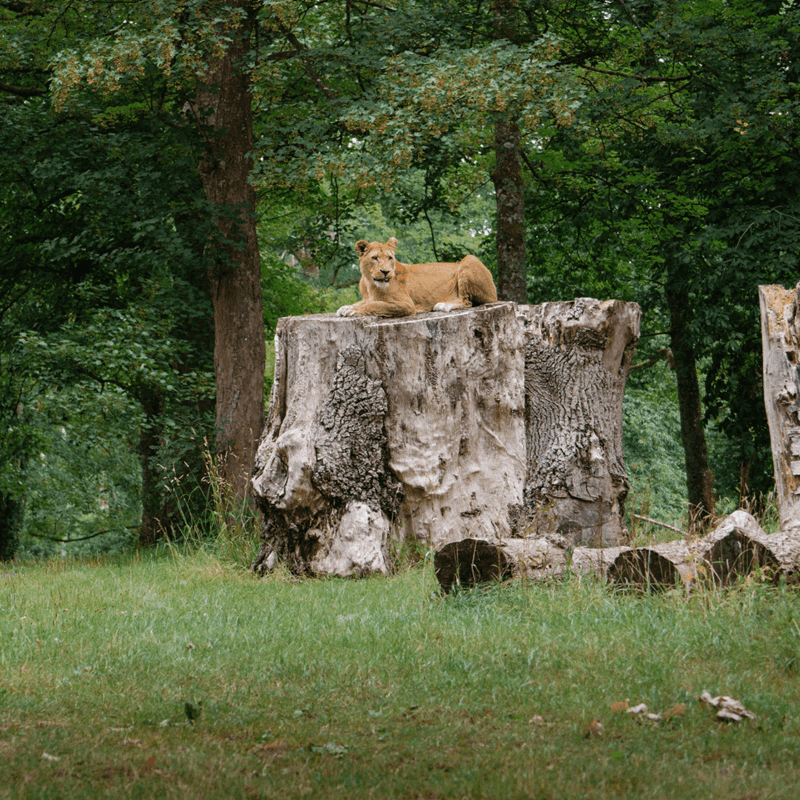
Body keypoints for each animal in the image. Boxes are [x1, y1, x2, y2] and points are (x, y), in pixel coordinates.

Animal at [336, 237, 498, 318]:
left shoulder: (407, 305)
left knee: (466, 301)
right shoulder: (367, 297)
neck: (370, 282)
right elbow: (365, 302)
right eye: (375, 258)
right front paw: (347, 307)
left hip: (469, 259)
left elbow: (376, 305)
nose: (386, 272)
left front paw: (351, 310)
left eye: (390, 258)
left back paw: (444, 305)